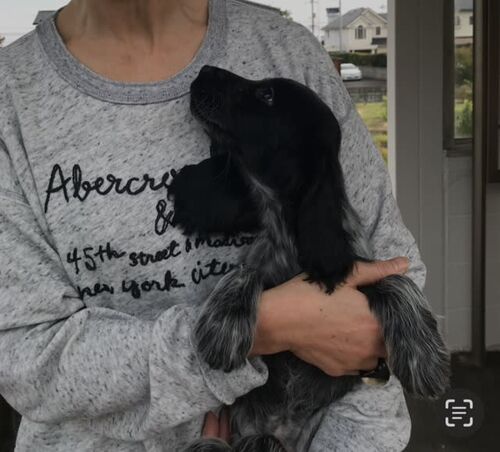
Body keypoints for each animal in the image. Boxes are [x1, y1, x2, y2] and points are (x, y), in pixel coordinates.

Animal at [169, 65, 450, 452]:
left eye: (267, 95)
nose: (205, 70)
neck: (287, 232)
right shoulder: (262, 260)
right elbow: (247, 270)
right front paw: (225, 321)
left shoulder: (358, 274)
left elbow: (394, 279)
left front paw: (424, 356)